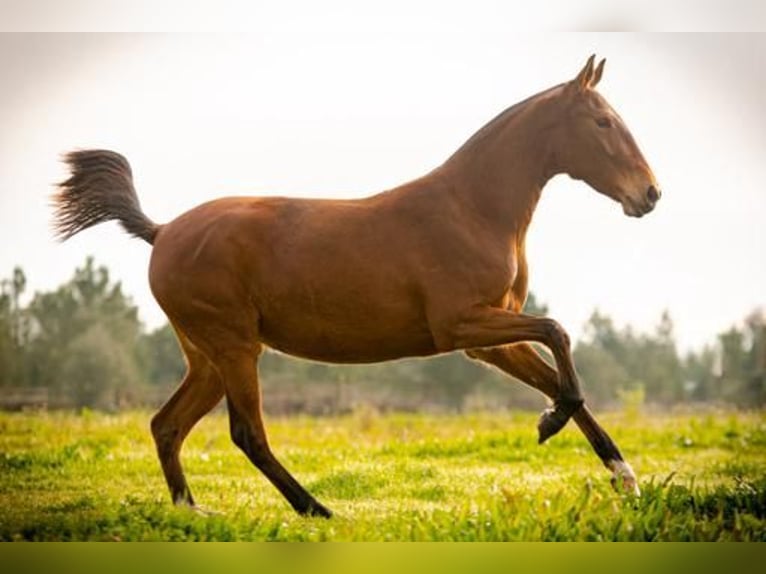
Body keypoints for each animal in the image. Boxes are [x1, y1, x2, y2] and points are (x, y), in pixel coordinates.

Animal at [57, 56, 664, 520]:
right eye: (603, 123)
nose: (651, 194)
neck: (472, 209)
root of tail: (161, 231)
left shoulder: (492, 339)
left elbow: (559, 372)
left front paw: (625, 477)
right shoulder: (463, 325)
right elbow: (558, 335)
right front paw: (549, 422)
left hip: (206, 358)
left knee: (167, 425)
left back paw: (194, 512)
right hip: (234, 349)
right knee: (246, 434)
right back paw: (316, 509)